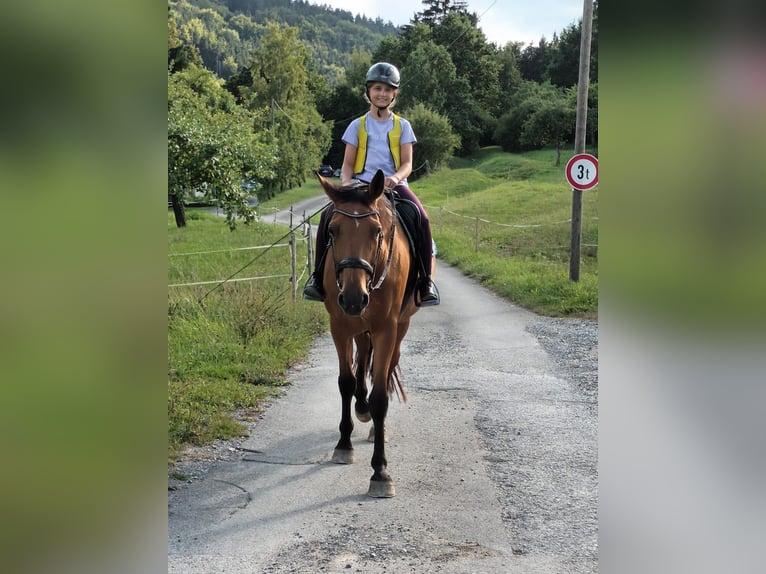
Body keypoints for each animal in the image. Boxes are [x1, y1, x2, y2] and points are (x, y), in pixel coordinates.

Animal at [315, 169, 423, 498]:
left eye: (376, 232)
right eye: (333, 231)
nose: (353, 297)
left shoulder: (387, 328)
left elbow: (380, 397)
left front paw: (380, 472)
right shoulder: (338, 325)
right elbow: (346, 382)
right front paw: (343, 445)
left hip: (400, 327)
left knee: (383, 373)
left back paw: (377, 426)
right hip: (358, 326)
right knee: (363, 358)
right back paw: (361, 409)